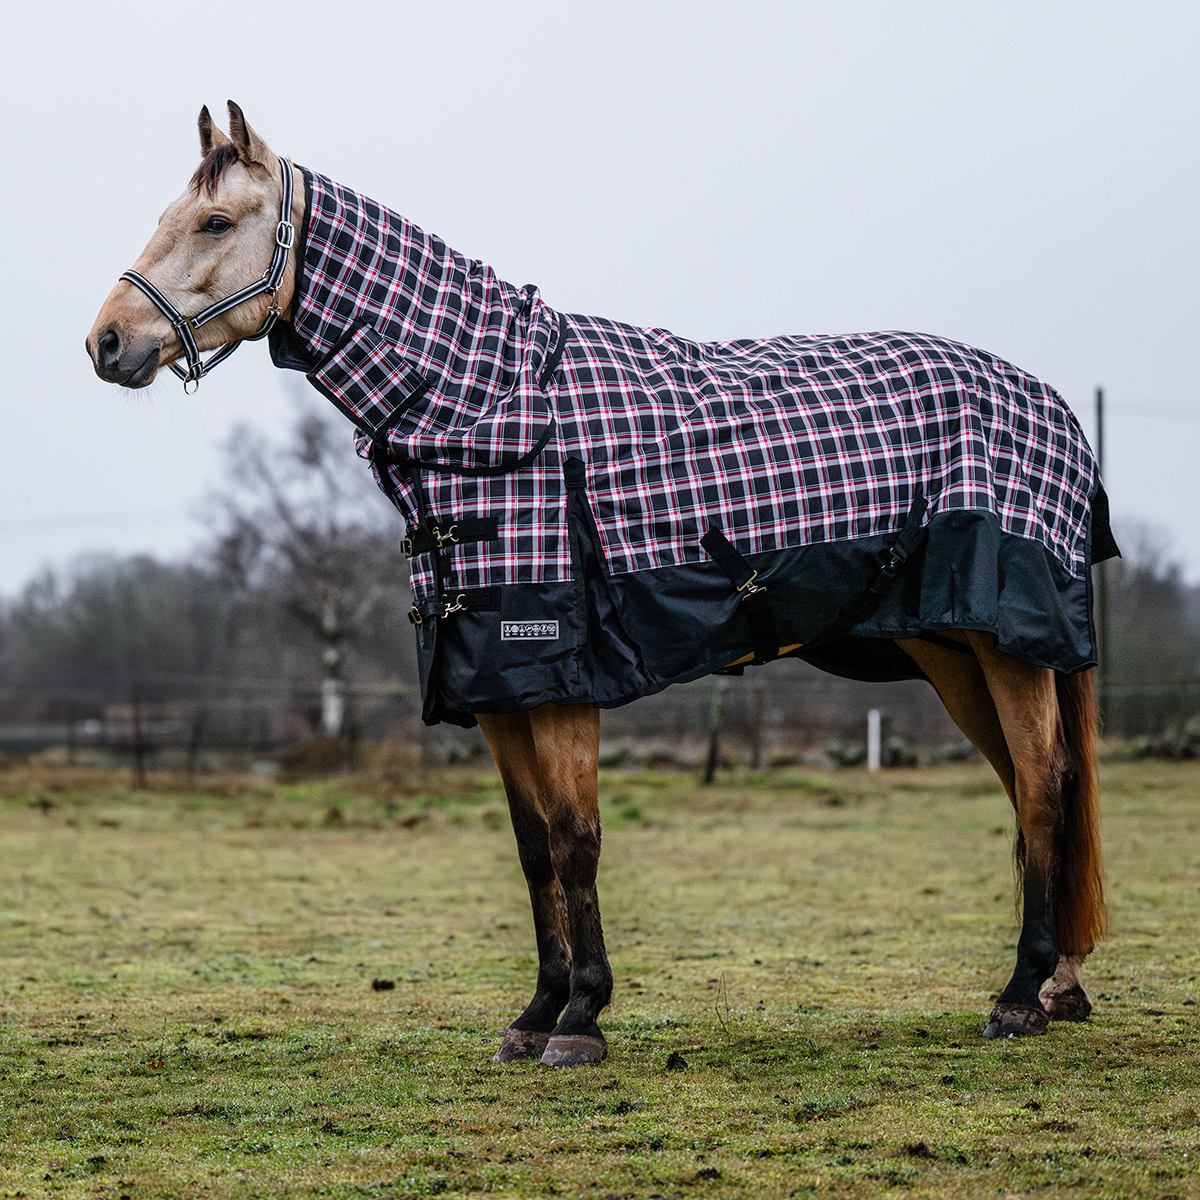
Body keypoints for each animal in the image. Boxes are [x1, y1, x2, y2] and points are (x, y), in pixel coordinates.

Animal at [88, 98, 1108, 1065]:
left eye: (216, 221)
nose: (105, 341)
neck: (494, 410)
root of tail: (1048, 401)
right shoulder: (493, 685)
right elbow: (534, 846)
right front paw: (536, 1014)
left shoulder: (557, 676)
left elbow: (578, 838)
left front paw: (582, 1019)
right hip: (955, 653)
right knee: (1028, 793)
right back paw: (1057, 988)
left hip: (1008, 647)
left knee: (1044, 789)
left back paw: (1020, 999)